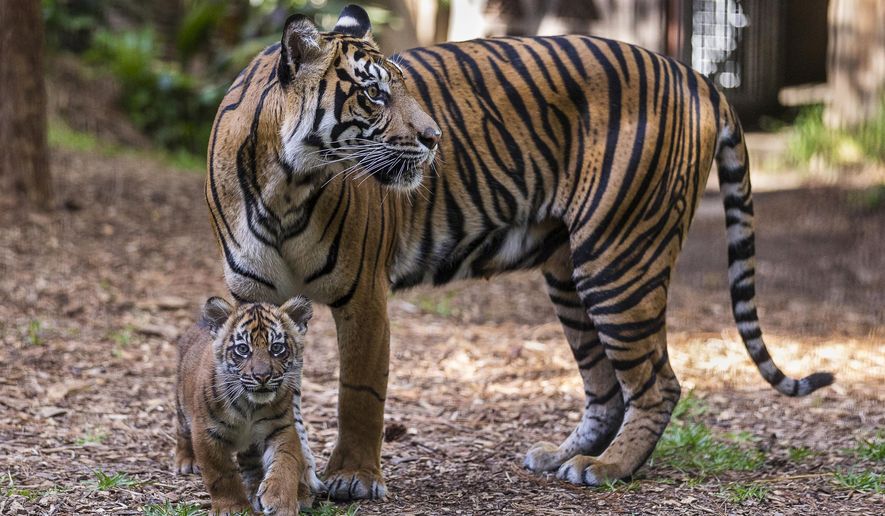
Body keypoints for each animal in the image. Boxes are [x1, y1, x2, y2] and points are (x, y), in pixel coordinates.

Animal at [174, 296, 321, 514]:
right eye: (243, 349)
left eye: (276, 348)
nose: (262, 376)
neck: (250, 406)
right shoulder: (206, 433)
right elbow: (221, 474)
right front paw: (232, 508)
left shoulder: (282, 428)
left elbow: (286, 463)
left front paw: (280, 502)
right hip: (182, 408)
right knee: (181, 431)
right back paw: (186, 460)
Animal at [205, 4, 834, 500]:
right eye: (375, 93)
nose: (435, 139)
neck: (286, 185)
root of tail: (695, 74)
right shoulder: (256, 299)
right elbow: (276, 395)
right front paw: (283, 473)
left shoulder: (363, 295)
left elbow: (359, 393)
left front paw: (352, 478)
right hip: (569, 274)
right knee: (606, 387)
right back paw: (561, 457)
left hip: (618, 258)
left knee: (658, 383)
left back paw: (606, 468)